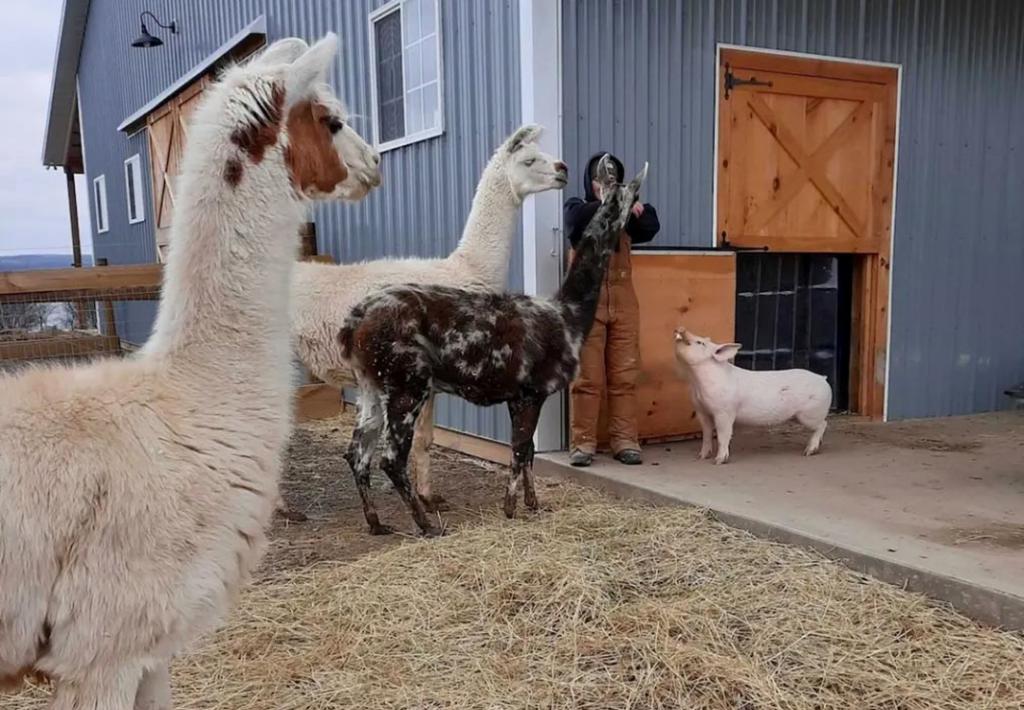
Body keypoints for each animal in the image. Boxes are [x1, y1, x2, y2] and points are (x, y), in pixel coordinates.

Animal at [673, 327, 832, 464]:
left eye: (700, 342)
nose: (681, 329)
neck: (696, 382)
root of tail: (823, 378)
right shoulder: (701, 410)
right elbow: (706, 434)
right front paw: (701, 457)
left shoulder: (724, 411)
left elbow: (723, 435)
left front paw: (718, 461)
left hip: (810, 413)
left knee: (823, 424)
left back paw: (808, 452)